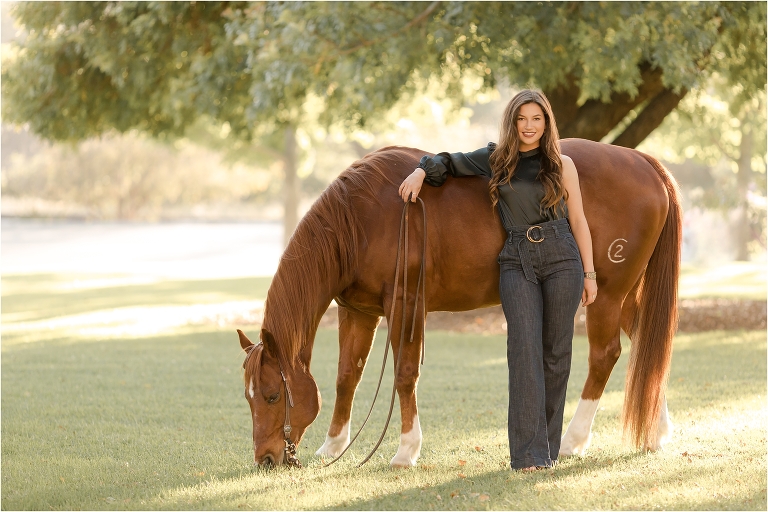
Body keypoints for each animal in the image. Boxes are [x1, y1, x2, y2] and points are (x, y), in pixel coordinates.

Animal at [237, 138, 681, 467]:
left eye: (273, 395)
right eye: (248, 397)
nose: (266, 460)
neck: (362, 220)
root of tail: (643, 162)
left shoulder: (405, 306)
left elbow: (404, 374)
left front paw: (406, 450)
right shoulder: (358, 312)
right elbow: (347, 376)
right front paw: (333, 446)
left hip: (603, 296)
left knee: (606, 356)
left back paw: (574, 440)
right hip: (623, 298)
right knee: (648, 345)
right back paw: (656, 433)